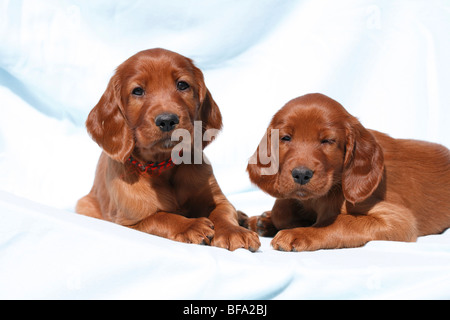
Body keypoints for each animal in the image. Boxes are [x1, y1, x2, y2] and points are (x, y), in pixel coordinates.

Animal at [77, 48, 260, 252]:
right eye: (137, 91)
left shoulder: (217, 198)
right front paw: (190, 225)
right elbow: (161, 217)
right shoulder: (129, 221)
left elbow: (223, 212)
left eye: (182, 85)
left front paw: (233, 231)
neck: (162, 165)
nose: (167, 120)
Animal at [246, 94, 450, 251]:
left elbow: (340, 222)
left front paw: (300, 232)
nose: (301, 174)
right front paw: (272, 218)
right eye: (286, 138)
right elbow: (281, 209)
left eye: (328, 141)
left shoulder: (398, 219)